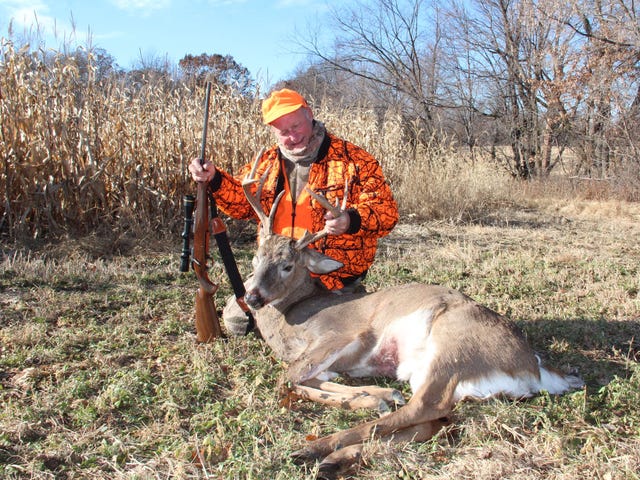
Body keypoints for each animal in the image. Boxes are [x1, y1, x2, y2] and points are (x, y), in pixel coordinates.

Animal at [240, 152, 584, 478]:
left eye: (287, 265)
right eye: (256, 258)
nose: (252, 297)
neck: (294, 316)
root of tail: (536, 369)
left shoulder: (340, 334)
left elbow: (288, 380)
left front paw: (377, 396)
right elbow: (310, 380)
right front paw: (374, 393)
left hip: (452, 347)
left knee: (422, 407)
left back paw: (317, 447)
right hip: (445, 379)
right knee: (434, 422)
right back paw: (336, 460)